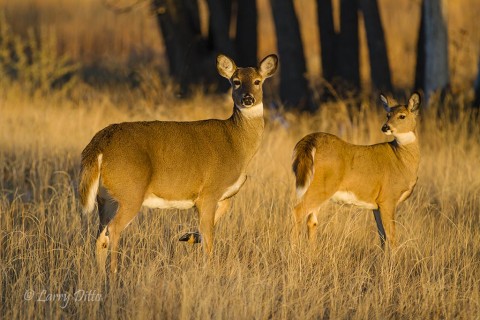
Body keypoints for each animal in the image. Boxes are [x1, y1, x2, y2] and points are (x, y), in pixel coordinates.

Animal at [79, 53, 278, 274]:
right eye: (236, 82)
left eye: (257, 81)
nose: (247, 99)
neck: (236, 143)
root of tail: (98, 145)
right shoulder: (209, 191)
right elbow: (209, 238)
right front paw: (208, 269)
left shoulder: (221, 195)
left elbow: (217, 217)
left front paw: (189, 236)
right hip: (131, 191)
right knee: (113, 230)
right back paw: (114, 273)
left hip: (105, 198)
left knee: (100, 237)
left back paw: (99, 275)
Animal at [290, 92, 422, 248]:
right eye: (388, 115)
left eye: (402, 116)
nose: (385, 127)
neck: (401, 160)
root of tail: (310, 141)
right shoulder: (388, 198)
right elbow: (392, 238)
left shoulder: (376, 205)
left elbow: (382, 237)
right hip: (323, 186)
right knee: (298, 211)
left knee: (312, 220)